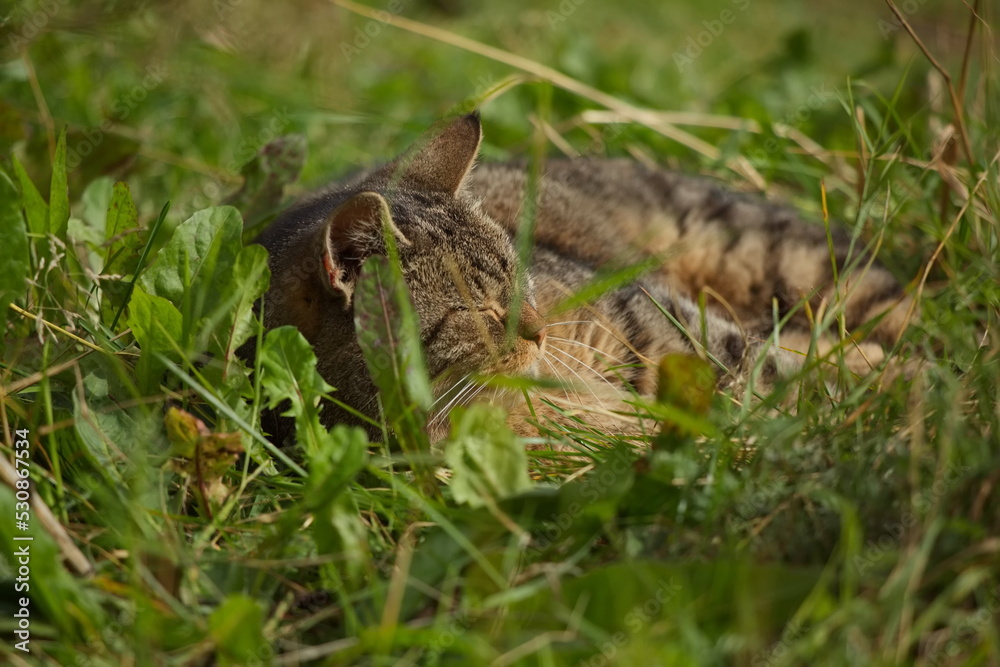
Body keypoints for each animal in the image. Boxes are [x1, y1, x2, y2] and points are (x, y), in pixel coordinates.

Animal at [252, 112, 916, 446]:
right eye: (478, 307)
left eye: (518, 275)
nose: (539, 331)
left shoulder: (661, 322)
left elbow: (778, 378)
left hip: (783, 259)